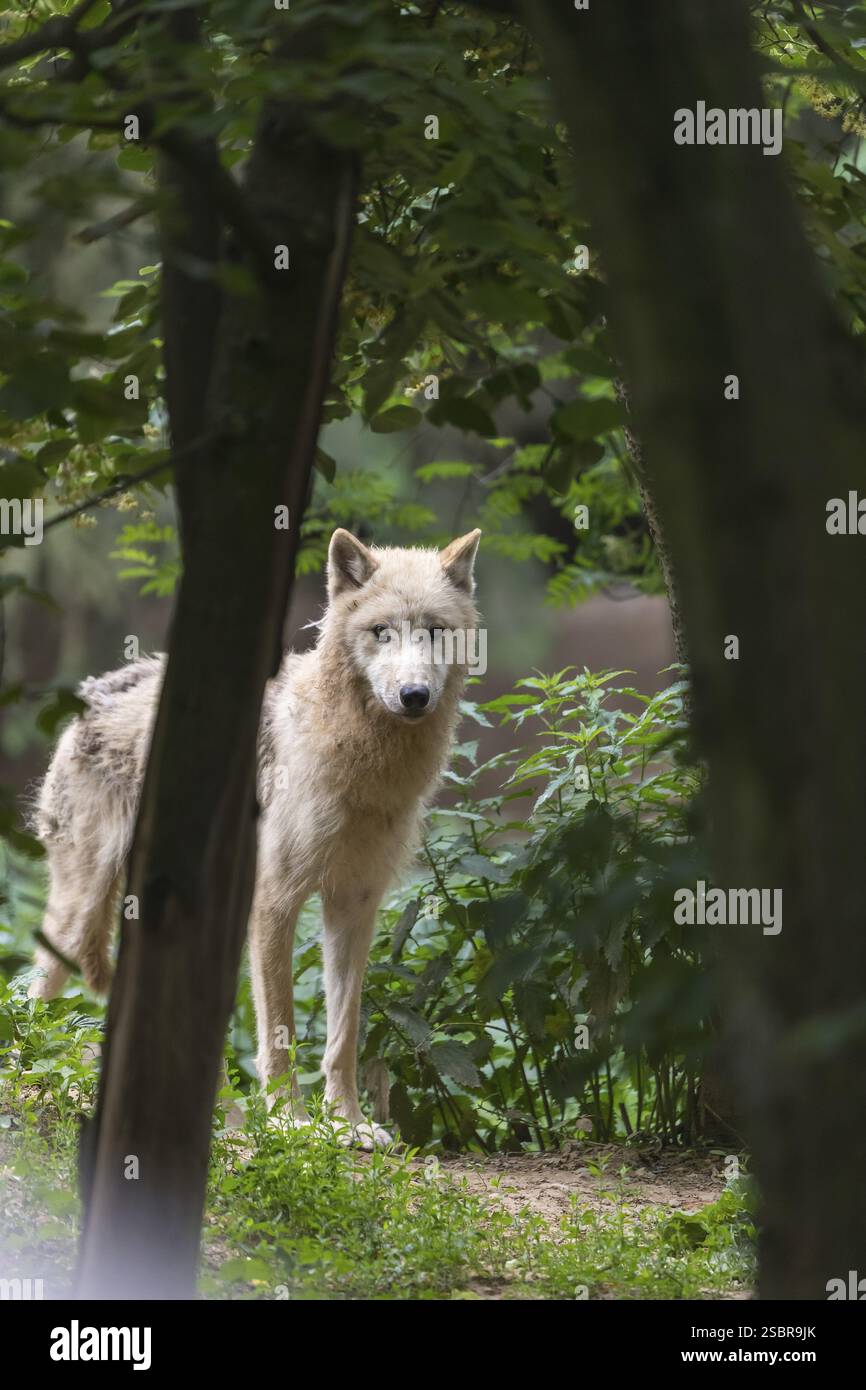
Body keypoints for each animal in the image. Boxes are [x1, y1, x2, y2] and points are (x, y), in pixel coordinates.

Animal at [28, 527, 481, 1148]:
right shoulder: (274, 901)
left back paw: (222, 1121)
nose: (414, 695)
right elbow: (279, 1031)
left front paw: (350, 1124)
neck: (361, 762)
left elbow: (343, 1032)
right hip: (80, 912)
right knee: (32, 994)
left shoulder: (354, 906)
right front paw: (292, 1122)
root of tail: (98, 687)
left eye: (434, 631)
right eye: (381, 632)